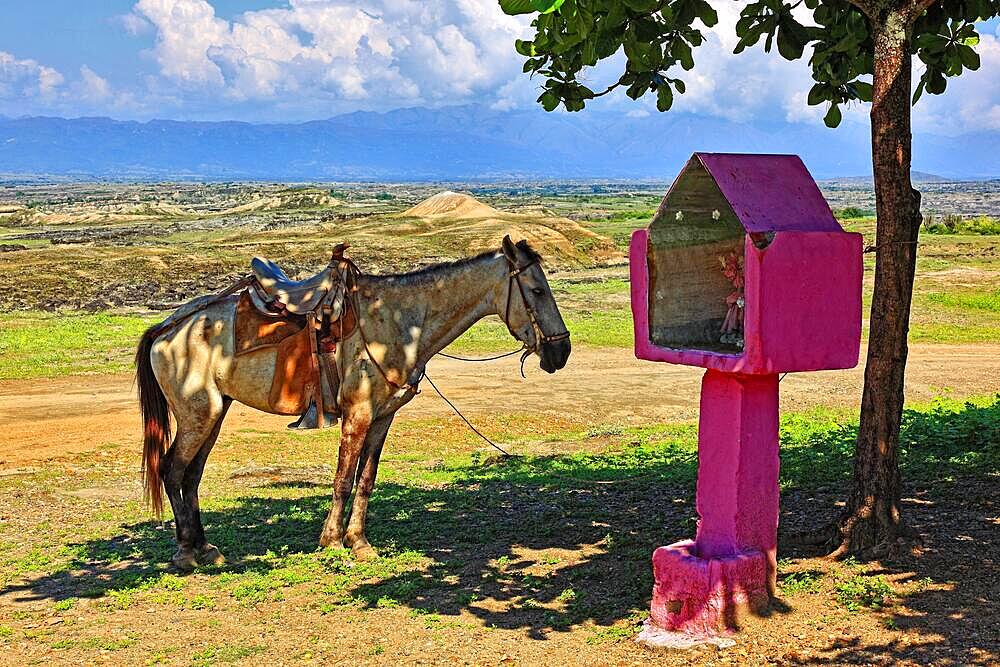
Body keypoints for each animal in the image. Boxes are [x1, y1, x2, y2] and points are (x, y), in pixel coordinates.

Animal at [136, 237, 572, 572]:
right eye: (536, 291)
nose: (561, 351)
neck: (397, 323)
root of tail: (168, 327)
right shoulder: (357, 414)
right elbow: (344, 478)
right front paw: (331, 540)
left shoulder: (382, 417)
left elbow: (366, 479)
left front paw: (358, 541)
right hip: (198, 414)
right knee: (172, 470)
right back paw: (185, 553)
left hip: (214, 413)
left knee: (191, 475)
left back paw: (205, 548)